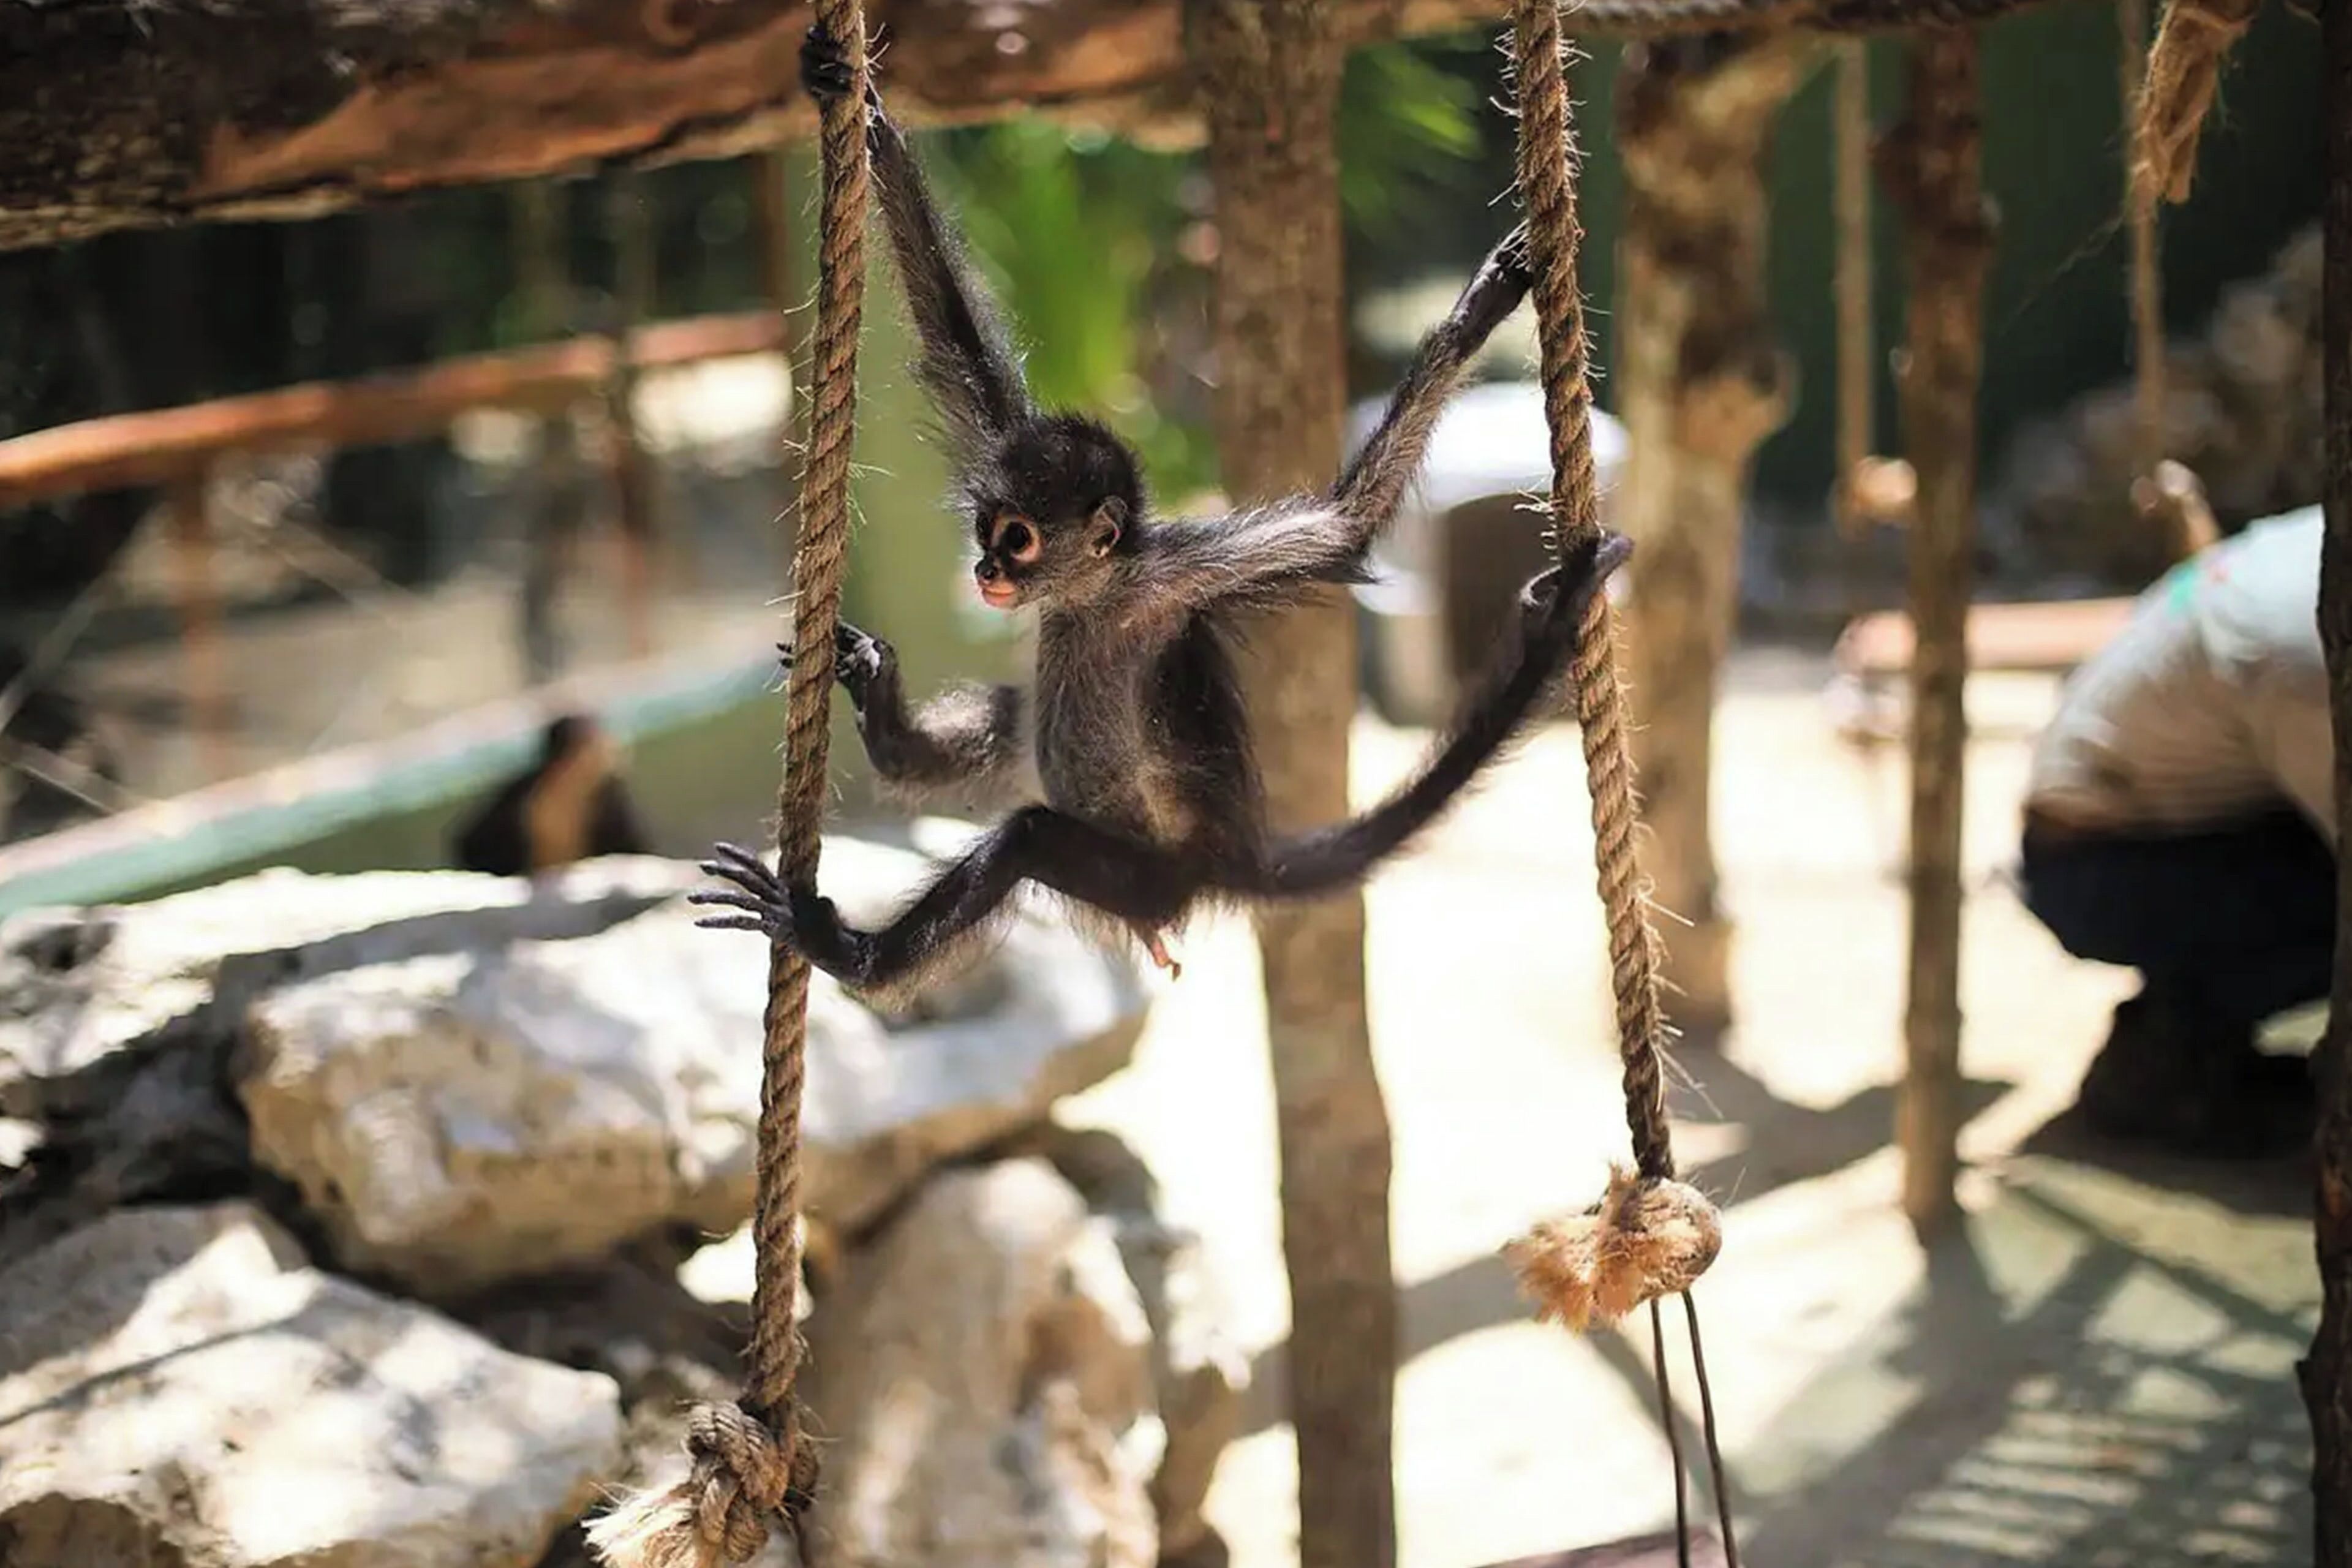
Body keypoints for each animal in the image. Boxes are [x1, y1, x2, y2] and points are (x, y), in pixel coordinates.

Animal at [688, 25, 1632, 998]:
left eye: (1018, 540)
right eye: (989, 531)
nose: (986, 569)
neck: (1095, 598)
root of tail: (1222, 864)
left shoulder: (1177, 575)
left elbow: (1347, 526)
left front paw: (1476, 316)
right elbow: (950, 337)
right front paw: (856, 101)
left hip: (1143, 878)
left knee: (1027, 836)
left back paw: (847, 951)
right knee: (1011, 715)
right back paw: (884, 725)